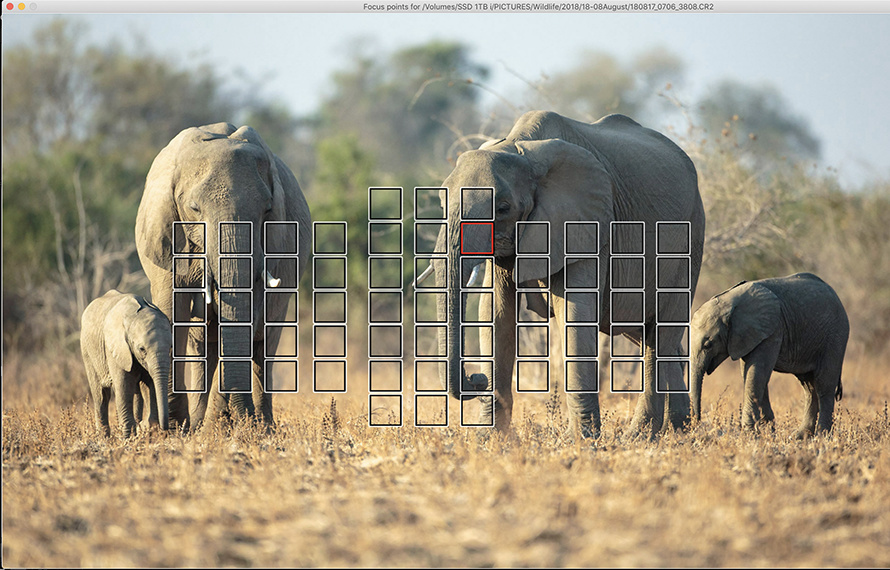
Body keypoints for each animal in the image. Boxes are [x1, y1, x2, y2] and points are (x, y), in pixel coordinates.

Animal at [80, 290, 171, 437]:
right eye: (142, 349)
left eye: (170, 347)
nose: (165, 429)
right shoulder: (116, 348)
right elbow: (124, 387)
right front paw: (129, 436)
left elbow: (150, 385)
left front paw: (149, 429)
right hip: (87, 351)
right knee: (101, 394)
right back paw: (104, 438)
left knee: (137, 391)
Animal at [135, 123, 311, 430]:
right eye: (194, 209)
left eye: (268, 209)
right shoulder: (166, 235)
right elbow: (172, 310)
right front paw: (173, 427)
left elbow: (250, 317)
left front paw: (226, 425)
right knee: (202, 344)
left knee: (265, 342)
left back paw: (259, 426)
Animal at [434, 110, 705, 438]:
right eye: (441, 202)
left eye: (503, 207)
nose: (476, 380)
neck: (521, 148)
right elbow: (495, 313)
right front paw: (490, 438)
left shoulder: (586, 224)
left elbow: (574, 313)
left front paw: (584, 440)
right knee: (652, 334)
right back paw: (680, 429)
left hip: (692, 236)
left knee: (662, 335)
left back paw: (644, 435)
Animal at [690, 272, 849, 438]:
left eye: (708, 344)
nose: (696, 423)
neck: (729, 302)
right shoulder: (747, 335)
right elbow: (751, 374)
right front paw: (767, 430)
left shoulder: (772, 330)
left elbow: (756, 373)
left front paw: (751, 432)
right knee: (809, 387)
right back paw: (800, 436)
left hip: (835, 336)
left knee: (824, 384)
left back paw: (822, 435)